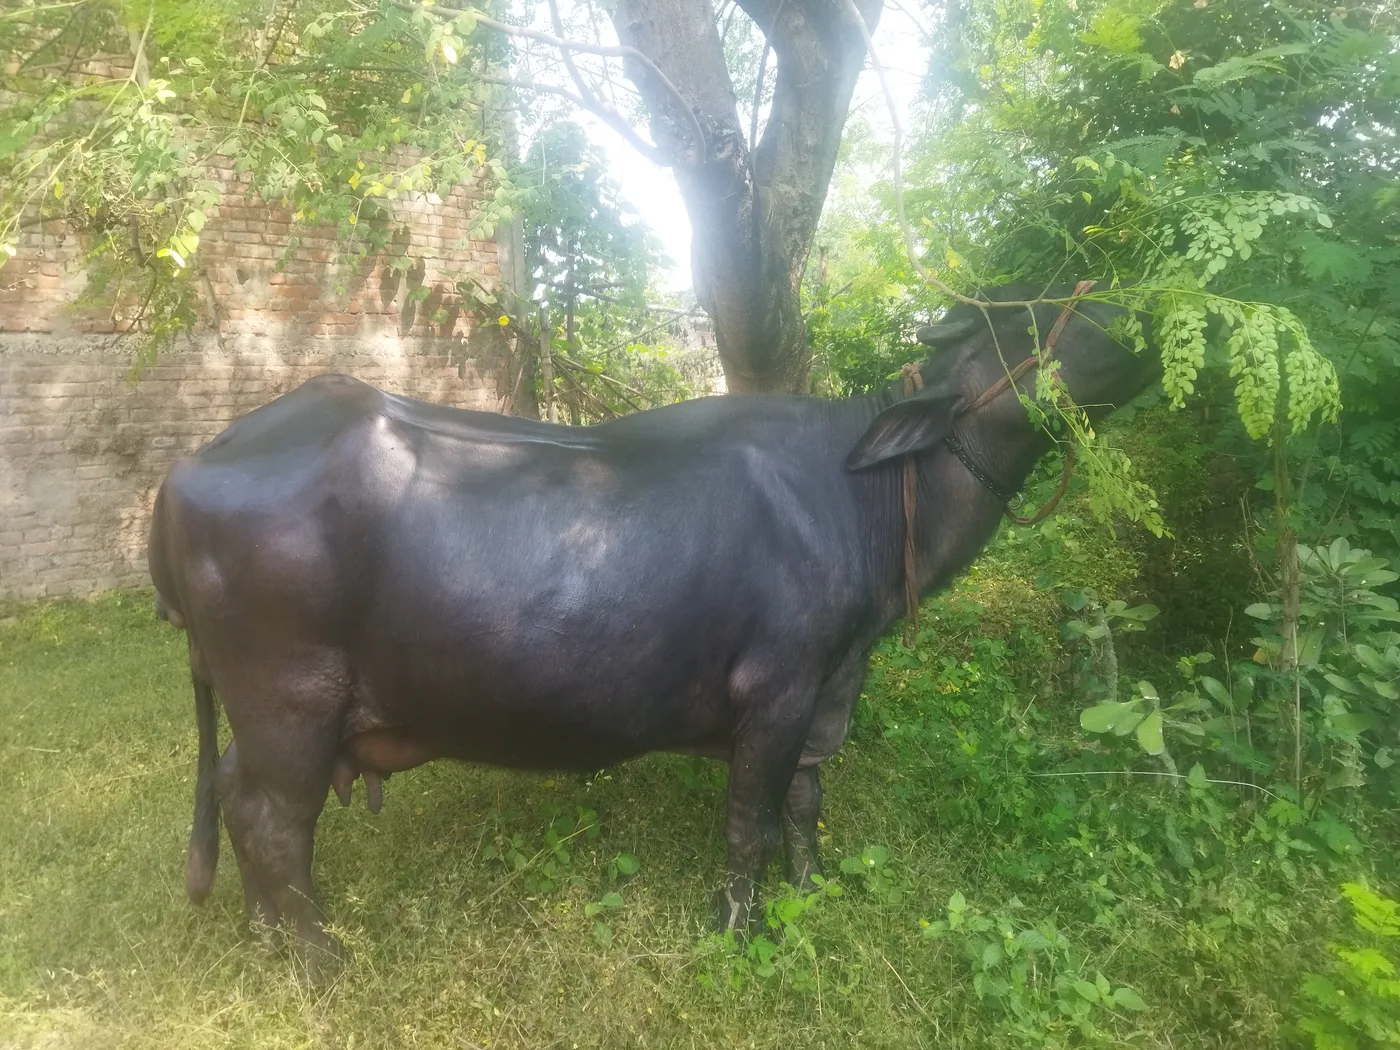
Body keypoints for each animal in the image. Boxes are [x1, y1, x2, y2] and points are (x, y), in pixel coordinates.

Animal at [148, 282, 1158, 969]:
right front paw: (738, 931)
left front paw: (814, 892)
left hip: (267, 711)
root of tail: (195, 465)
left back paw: (265, 937)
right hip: (291, 701)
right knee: (275, 821)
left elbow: (805, 804)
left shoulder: (828, 683)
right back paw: (320, 960)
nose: (1132, 312)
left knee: (234, 798)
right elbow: (750, 822)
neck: (857, 495)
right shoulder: (777, 688)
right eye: (1024, 326)